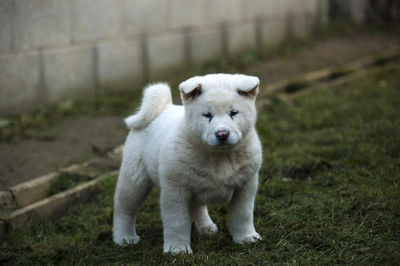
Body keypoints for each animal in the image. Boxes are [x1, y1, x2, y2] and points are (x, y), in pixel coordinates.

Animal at [112, 72, 262, 254]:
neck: (219, 157)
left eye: (234, 113)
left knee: (196, 206)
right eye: (207, 115)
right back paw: (124, 237)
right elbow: (177, 222)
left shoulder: (246, 185)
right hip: (135, 179)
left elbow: (243, 214)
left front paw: (246, 238)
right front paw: (177, 250)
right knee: (124, 208)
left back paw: (206, 227)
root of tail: (163, 108)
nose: (222, 134)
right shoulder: (175, 190)